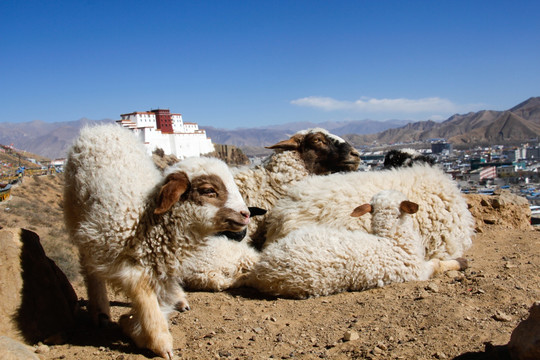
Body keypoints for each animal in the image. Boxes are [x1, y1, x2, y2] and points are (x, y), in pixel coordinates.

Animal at [63, 124, 249, 360]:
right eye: (208, 190)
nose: (246, 214)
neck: (147, 220)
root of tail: (99, 128)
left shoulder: (161, 262)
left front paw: (135, 326)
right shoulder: (132, 267)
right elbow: (147, 301)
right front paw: (158, 342)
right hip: (77, 217)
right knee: (89, 268)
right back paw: (101, 312)